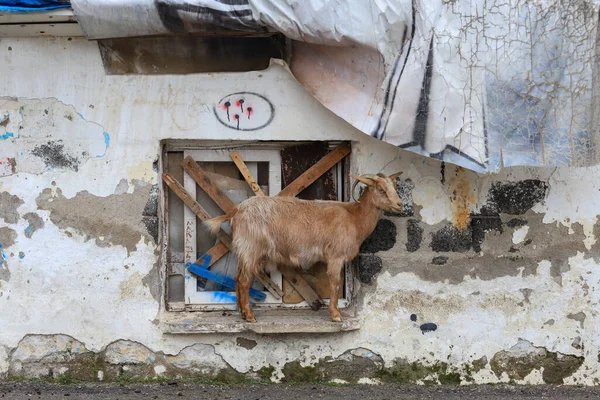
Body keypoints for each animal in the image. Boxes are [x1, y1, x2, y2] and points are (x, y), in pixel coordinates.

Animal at [202, 172, 404, 322]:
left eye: (394, 187)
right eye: (380, 189)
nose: (400, 205)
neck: (354, 218)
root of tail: (237, 210)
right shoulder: (335, 256)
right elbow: (335, 283)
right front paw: (336, 315)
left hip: (244, 250)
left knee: (237, 278)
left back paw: (242, 313)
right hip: (252, 248)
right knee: (244, 280)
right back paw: (250, 316)